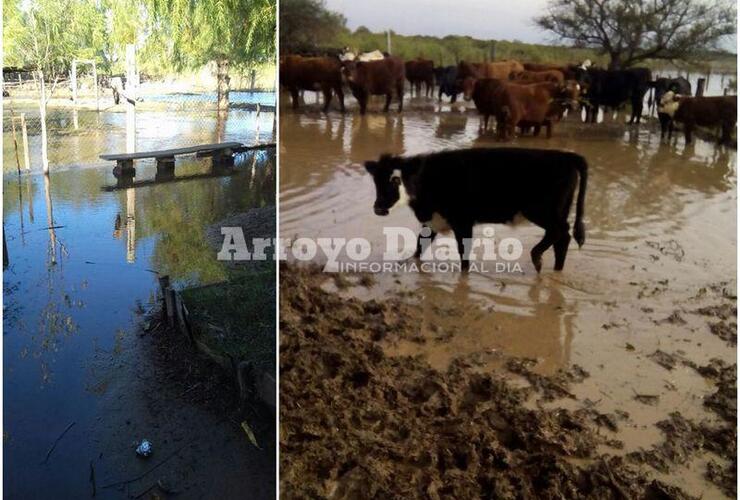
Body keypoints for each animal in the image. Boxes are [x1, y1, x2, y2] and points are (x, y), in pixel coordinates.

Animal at [364, 148, 588, 274]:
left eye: (395, 179)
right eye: (376, 181)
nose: (378, 208)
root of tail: (566, 156)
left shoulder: (462, 221)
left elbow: (464, 251)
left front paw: (464, 274)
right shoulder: (434, 220)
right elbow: (421, 245)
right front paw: (407, 262)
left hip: (540, 210)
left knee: (558, 231)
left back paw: (537, 258)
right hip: (559, 210)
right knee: (563, 237)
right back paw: (557, 269)